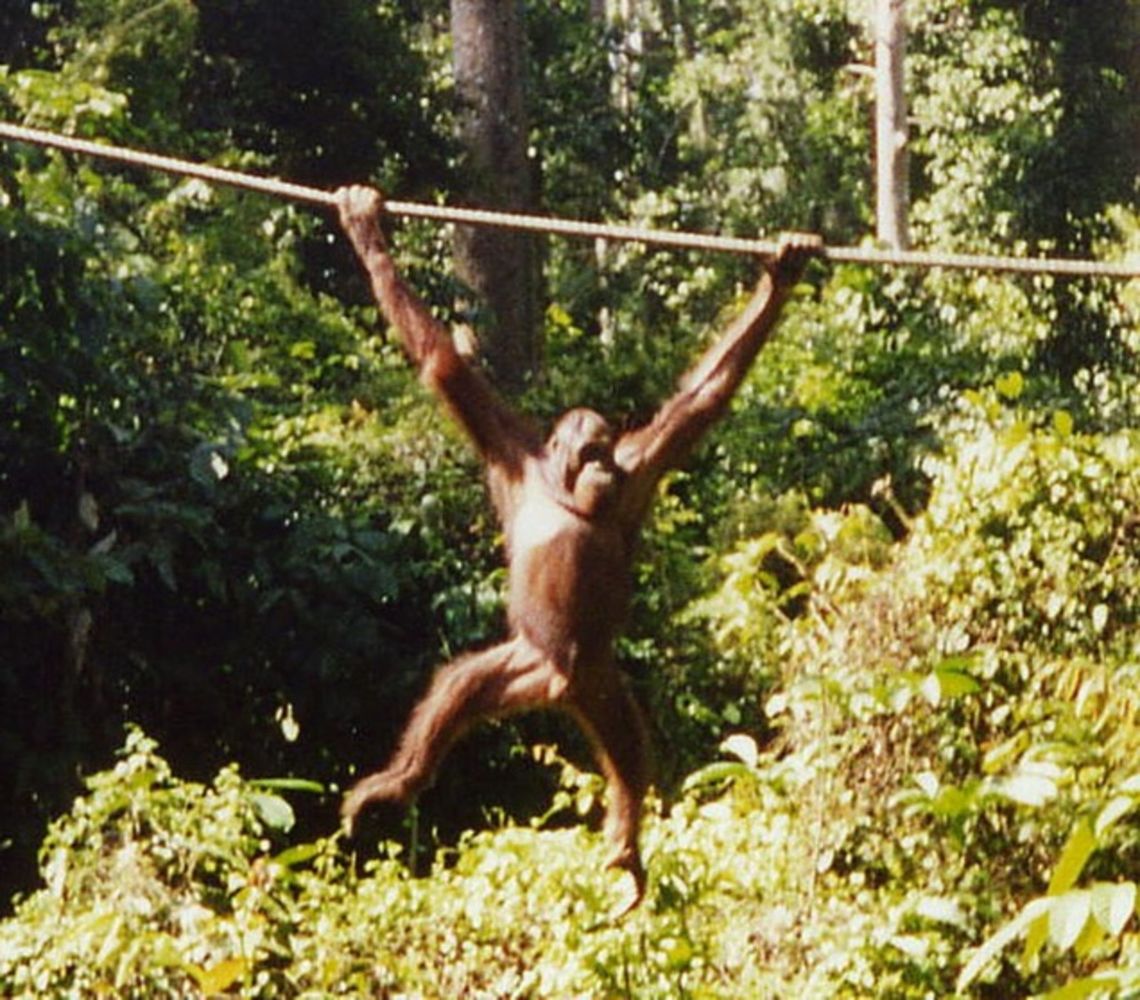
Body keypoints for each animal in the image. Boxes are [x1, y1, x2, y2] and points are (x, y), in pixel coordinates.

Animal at [335, 185, 820, 911]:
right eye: (589, 450)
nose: (601, 470)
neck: (566, 493)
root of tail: (557, 688)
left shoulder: (641, 467)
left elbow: (703, 400)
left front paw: (783, 271)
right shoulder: (507, 444)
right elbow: (443, 363)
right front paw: (367, 230)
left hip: (598, 680)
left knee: (629, 748)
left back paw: (626, 841)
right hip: (526, 662)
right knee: (460, 687)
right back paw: (399, 784)